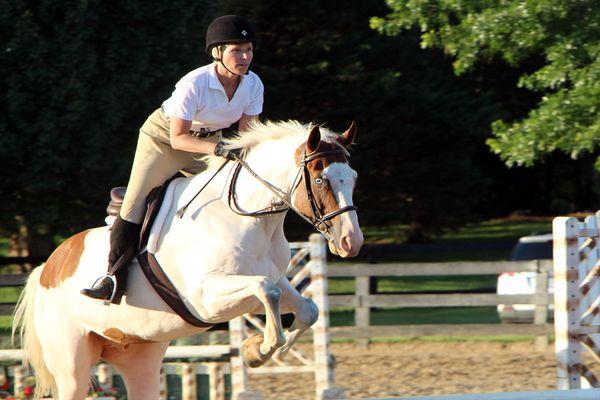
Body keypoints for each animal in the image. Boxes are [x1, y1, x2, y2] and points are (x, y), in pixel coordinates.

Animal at [11, 119, 364, 400]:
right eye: (320, 180)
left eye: (353, 177)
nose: (351, 241)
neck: (247, 218)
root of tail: (47, 267)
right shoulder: (207, 299)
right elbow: (267, 290)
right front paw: (257, 349)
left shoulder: (272, 280)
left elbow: (306, 308)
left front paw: (256, 351)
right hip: (72, 365)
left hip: (140, 357)